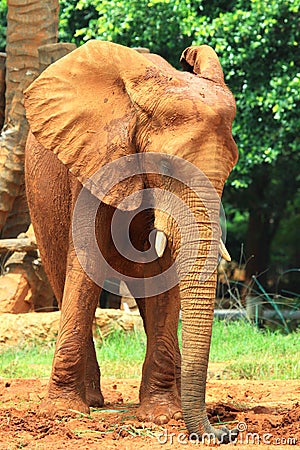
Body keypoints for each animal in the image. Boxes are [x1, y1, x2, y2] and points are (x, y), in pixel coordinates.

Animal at [23, 40, 238, 442]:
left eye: (231, 168)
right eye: (164, 167)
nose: (225, 433)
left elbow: (164, 273)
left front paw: (163, 417)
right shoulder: (94, 162)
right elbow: (86, 261)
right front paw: (62, 414)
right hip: (38, 200)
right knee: (60, 274)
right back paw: (92, 400)